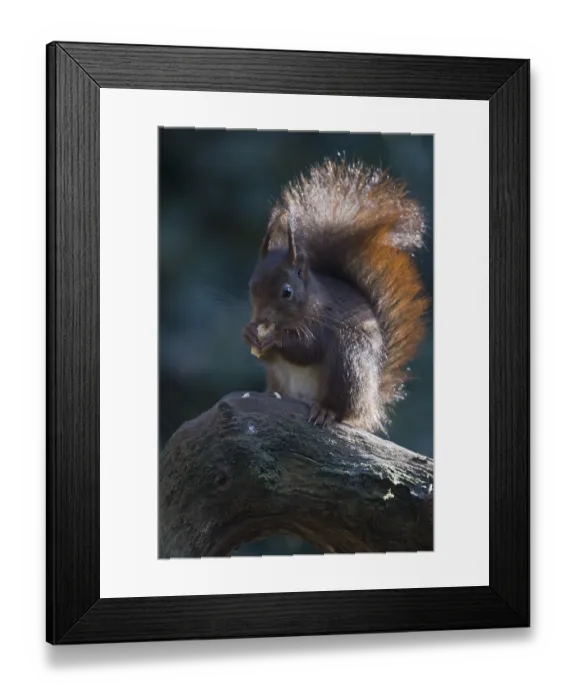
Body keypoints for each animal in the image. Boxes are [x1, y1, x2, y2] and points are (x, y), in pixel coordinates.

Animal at [242, 157, 429, 433]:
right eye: (250, 286)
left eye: (287, 292)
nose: (260, 320)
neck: (309, 302)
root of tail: (370, 405)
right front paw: (249, 333)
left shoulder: (323, 322)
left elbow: (306, 349)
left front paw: (275, 338)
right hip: (281, 378)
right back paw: (274, 395)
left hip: (348, 363)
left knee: (341, 407)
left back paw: (326, 411)